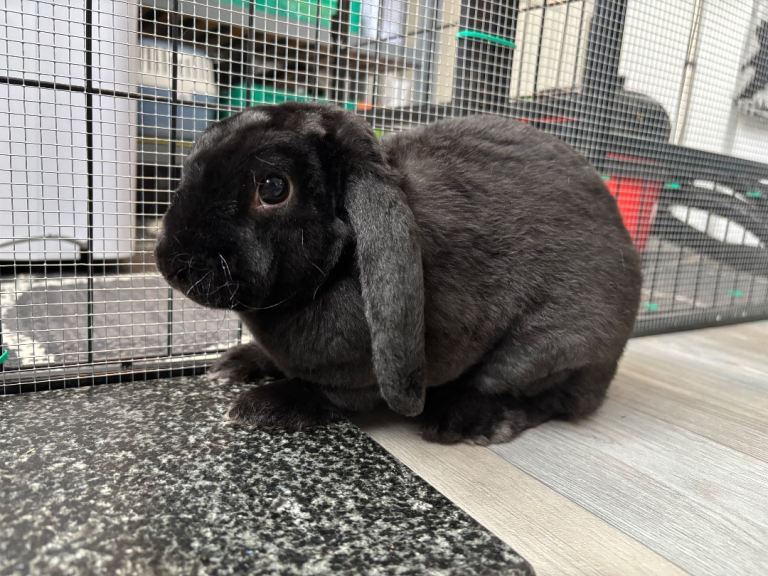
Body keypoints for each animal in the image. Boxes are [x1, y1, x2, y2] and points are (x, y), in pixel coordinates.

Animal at [155, 102, 642, 445]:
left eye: (273, 188)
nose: (169, 263)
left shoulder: (359, 376)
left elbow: (330, 392)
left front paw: (263, 405)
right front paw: (234, 364)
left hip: (550, 349)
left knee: (546, 396)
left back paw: (466, 421)